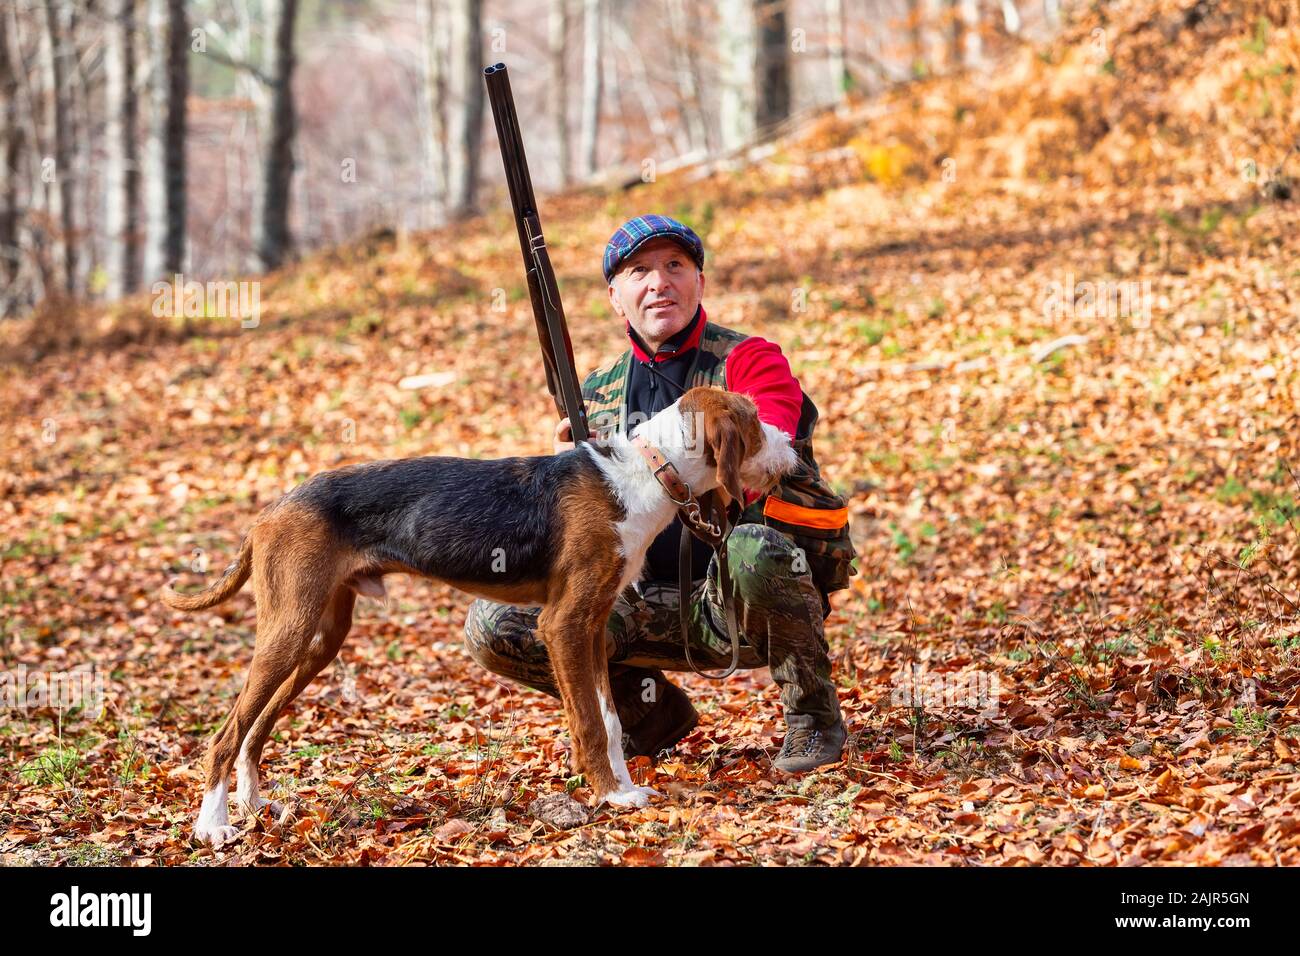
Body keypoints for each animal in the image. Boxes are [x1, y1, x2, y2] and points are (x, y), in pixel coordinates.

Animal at [157, 382, 795, 842]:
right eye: (754, 422)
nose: (792, 447)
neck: (644, 469)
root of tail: (270, 508)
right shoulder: (563, 624)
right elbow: (591, 722)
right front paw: (611, 795)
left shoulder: (593, 628)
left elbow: (609, 719)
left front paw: (619, 784)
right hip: (289, 632)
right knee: (225, 734)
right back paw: (213, 825)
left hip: (319, 639)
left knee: (253, 728)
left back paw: (252, 801)